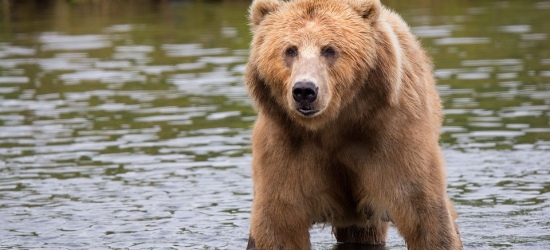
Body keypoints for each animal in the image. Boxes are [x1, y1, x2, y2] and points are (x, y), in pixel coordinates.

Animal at [244, 0, 464, 249]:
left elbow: (424, 212)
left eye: (329, 49)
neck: (333, 125)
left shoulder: (391, 137)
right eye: (290, 50)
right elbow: (279, 221)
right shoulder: (286, 145)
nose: (304, 90)